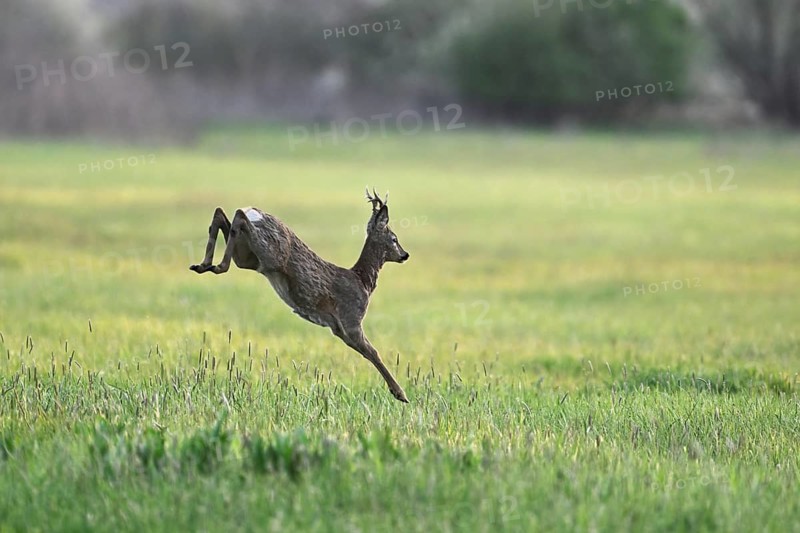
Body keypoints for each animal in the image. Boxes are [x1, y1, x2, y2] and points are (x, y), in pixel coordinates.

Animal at [189, 189, 411, 402]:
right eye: (394, 239)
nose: (405, 254)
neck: (363, 281)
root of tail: (256, 213)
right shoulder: (351, 318)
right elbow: (374, 353)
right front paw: (401, 394)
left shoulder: (338, 329)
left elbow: (367, 354)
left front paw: (398, 392)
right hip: (269, 253)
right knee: (238, 216)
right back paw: (215, 263)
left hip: (248, 256)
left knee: (224, 218)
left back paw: (204, 264)